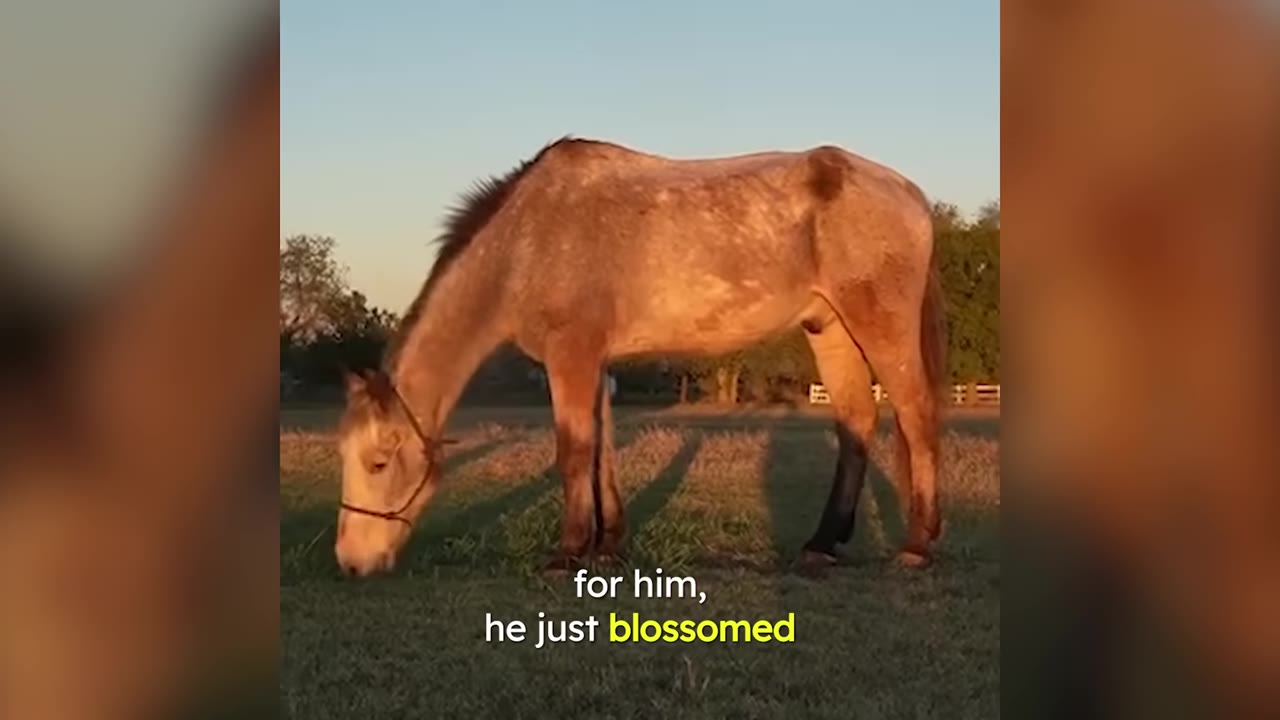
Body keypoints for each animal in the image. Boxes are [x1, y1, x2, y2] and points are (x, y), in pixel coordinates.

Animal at [334, 136, 947, 577]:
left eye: (379, 462)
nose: (351, 561)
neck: (526, 241)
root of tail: (909, 192)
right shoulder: (594, 362)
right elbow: (601, 452)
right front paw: (608, 546)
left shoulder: (571, 356)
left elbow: (573, 452)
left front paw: (568, 552)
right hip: (830, 328)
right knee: (856, 422)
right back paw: (821, 545)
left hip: (880, 327)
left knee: (916, 417)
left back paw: (917, 545)